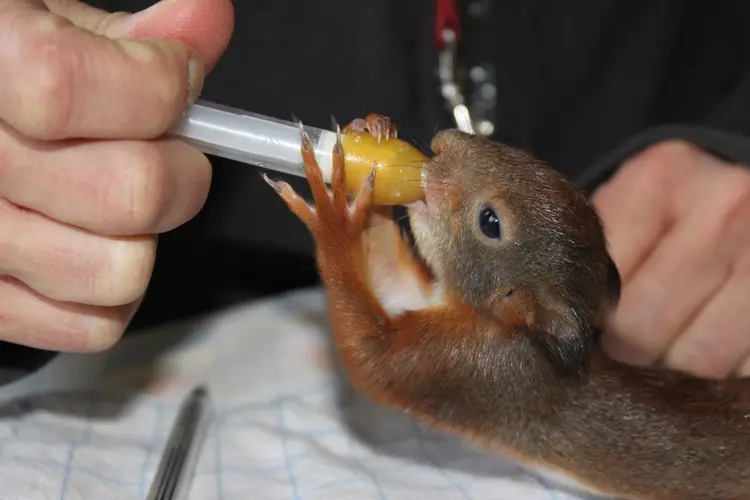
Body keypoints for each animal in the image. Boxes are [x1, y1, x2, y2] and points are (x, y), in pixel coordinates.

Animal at [262, 114, 750, 500]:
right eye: (527, 158)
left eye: (490, 222)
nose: (443, 142)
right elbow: (392, 281)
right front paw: (374, 131)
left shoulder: (482, 369)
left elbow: (371, 359)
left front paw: (333, 218)